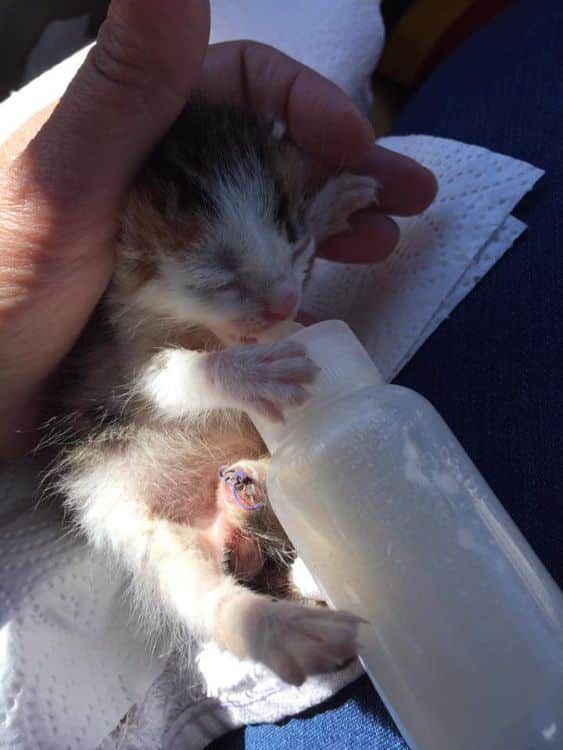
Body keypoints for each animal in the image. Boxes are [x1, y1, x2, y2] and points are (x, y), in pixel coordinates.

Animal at [46, 94, 376, 688]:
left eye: (292, 234)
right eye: (217, 280)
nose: (287, 303)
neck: (193, 325)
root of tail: (215, 523)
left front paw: (332, 202)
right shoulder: (115, 362)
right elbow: (177, 378)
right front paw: (251, 372)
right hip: (137, 530)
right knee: (205, 599)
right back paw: (286, 631)